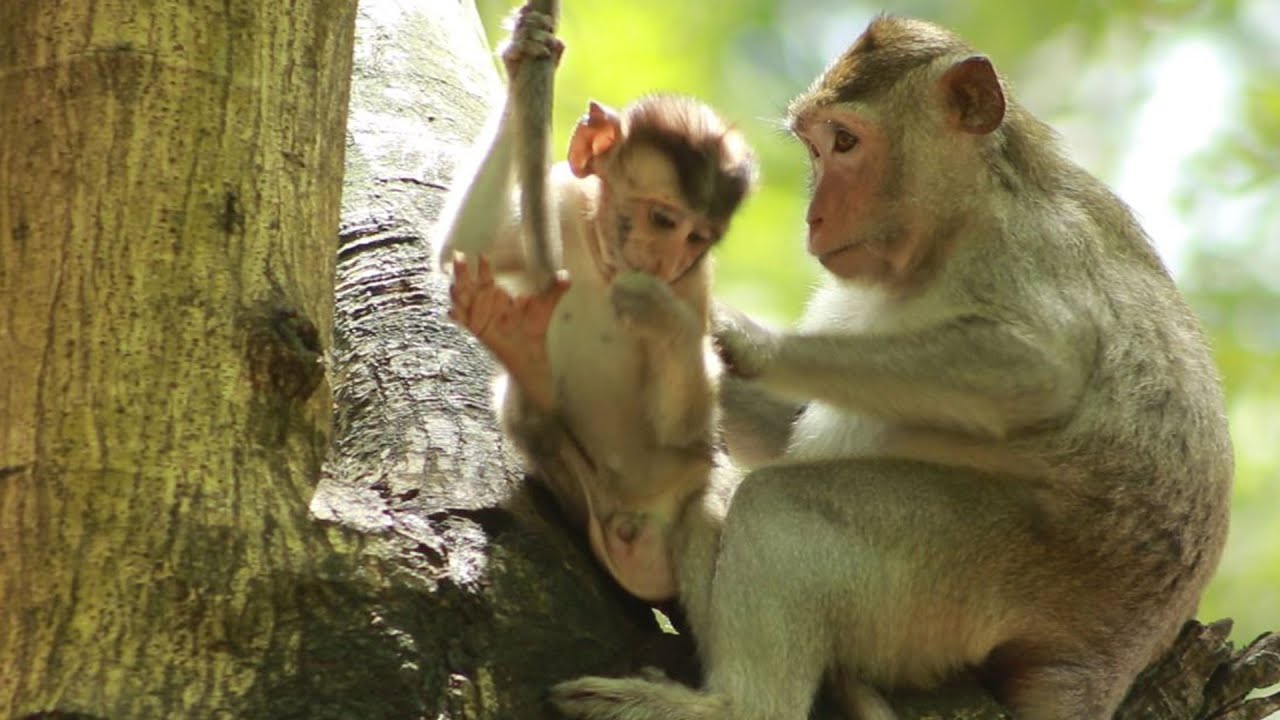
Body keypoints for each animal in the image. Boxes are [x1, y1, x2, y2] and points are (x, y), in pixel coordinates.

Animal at [550, 15, 1233, 720]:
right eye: (815, 149)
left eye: (846, 142)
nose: (814, 217)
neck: (957, 220)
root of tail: (1108, 662)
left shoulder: (1025, 247)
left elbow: (1039, 368)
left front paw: (716, 332)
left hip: (980, 572)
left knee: (782, 504)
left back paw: (735, 703)